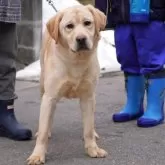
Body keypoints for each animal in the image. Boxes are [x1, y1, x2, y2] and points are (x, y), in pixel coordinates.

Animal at [27, 4, 107, 165]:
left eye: (87, 23)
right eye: (69, 26)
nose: (81, 39)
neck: (76, 61)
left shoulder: (88, 97)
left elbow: (88, 128)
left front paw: (92, 149)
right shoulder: (49, 97)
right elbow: (43, 131)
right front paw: (38, 155)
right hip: (43, 88)